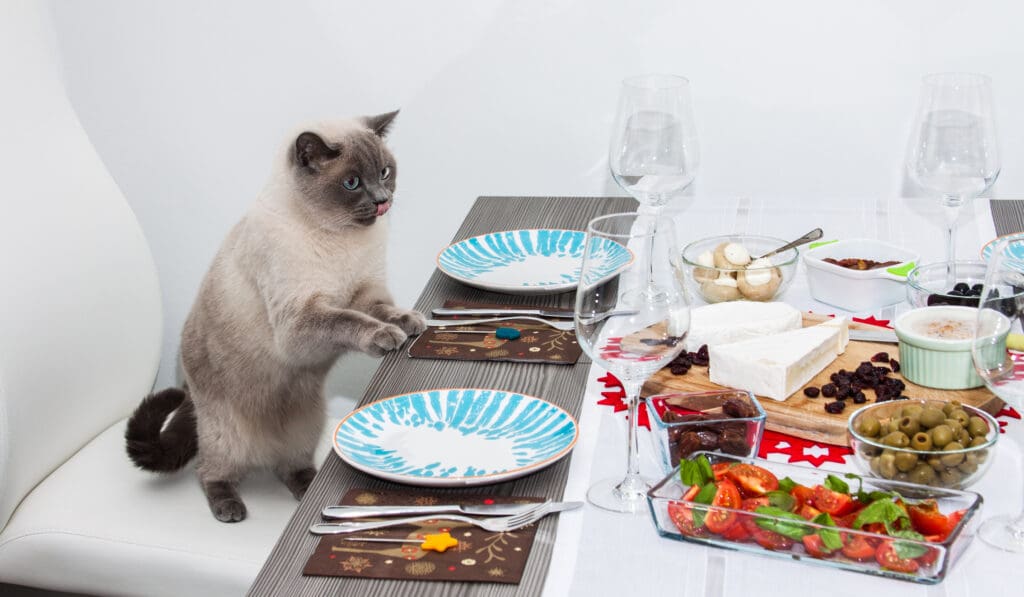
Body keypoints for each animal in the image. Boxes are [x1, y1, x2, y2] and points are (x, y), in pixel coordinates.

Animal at [123, 112, 423, 524]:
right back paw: (229, 507)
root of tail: (187, 391)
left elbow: (382, 311)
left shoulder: (364, 293)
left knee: (289, 466)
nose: (382, 200)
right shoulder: (302, 321)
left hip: (307, 423)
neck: (342, 240)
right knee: (209, 471)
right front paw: (385, 336)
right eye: (352, 183)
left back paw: (306, 486)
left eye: (384, 172)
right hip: (226, 434)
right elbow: (349, 321)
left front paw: (410, 322)